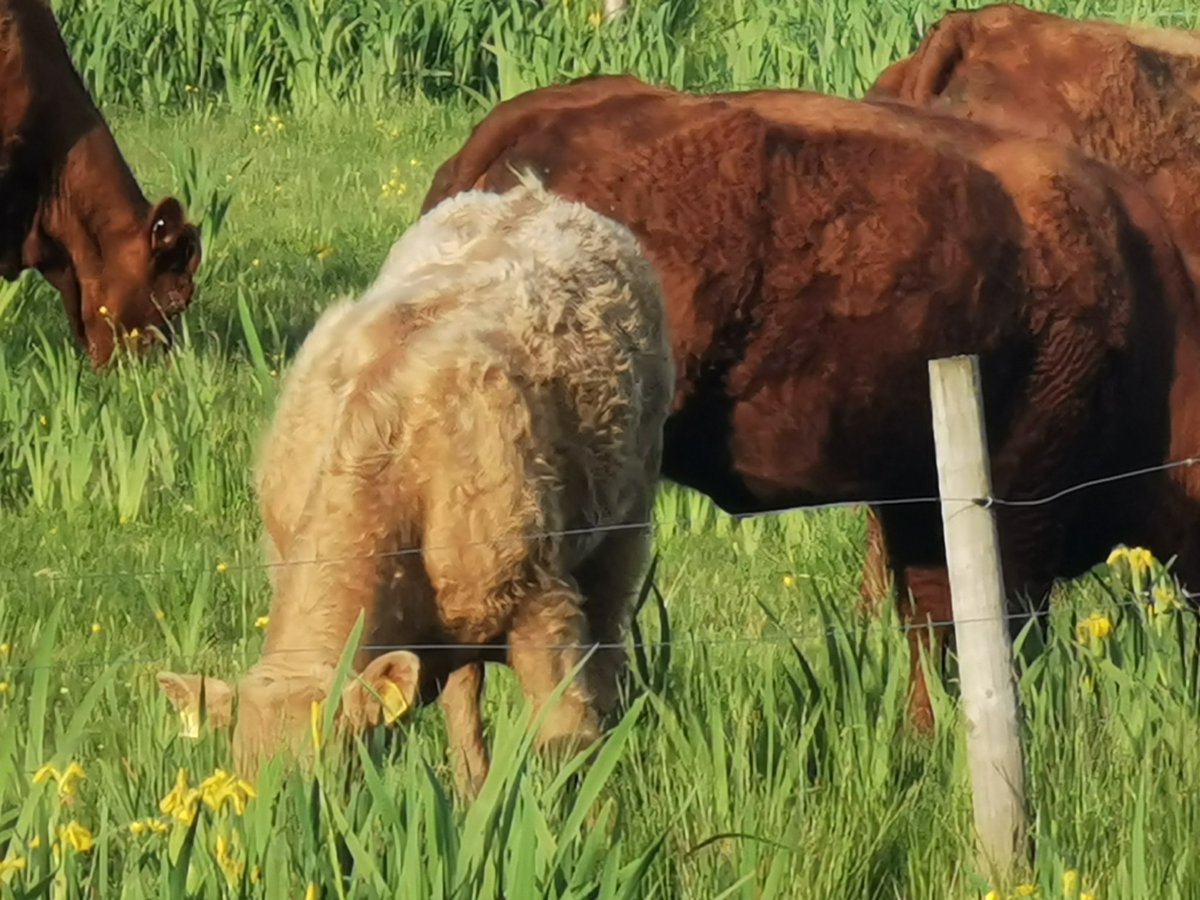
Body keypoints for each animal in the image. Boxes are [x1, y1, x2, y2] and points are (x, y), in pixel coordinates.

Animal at [156, 176, 675, 794]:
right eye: (244, 781)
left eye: (332, 778)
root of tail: (532, 193)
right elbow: (465, 732)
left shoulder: (542, 602)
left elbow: (566, 740)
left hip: (625, 525)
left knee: (609, 645)